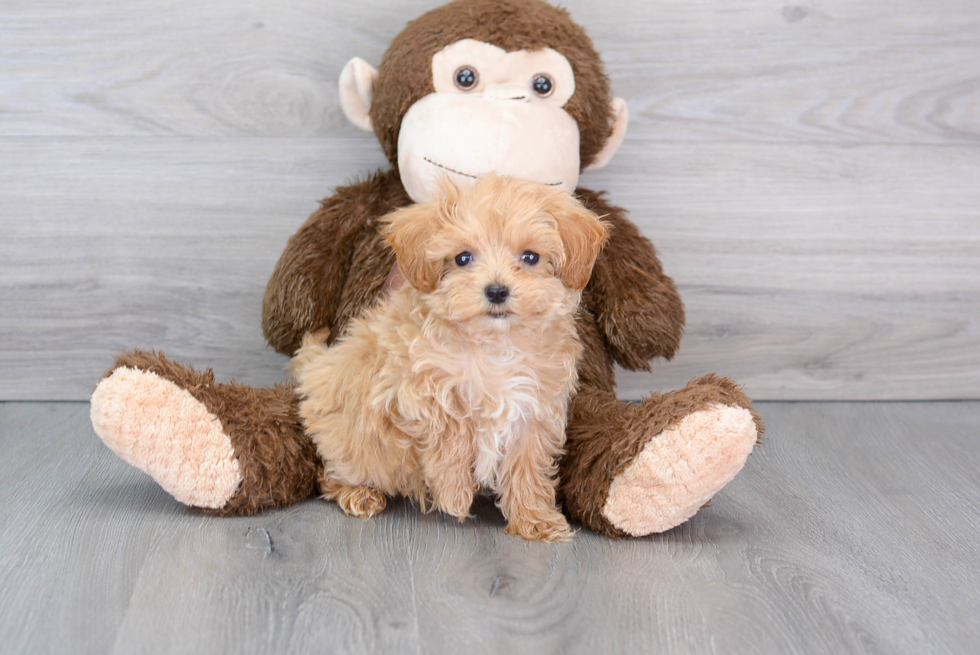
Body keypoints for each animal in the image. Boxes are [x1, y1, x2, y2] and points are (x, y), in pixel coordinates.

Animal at [290, 174, 608, 544]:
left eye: (530, 257)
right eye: (462, 258)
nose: (496, 291)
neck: (493, 344)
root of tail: (317, 372)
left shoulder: (533, 408)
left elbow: (526, 467)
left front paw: (534, 519)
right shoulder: (411, 388)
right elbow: (451, 431)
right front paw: (455, 493)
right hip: (346, 438)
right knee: (332, 472)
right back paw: (358, 493)